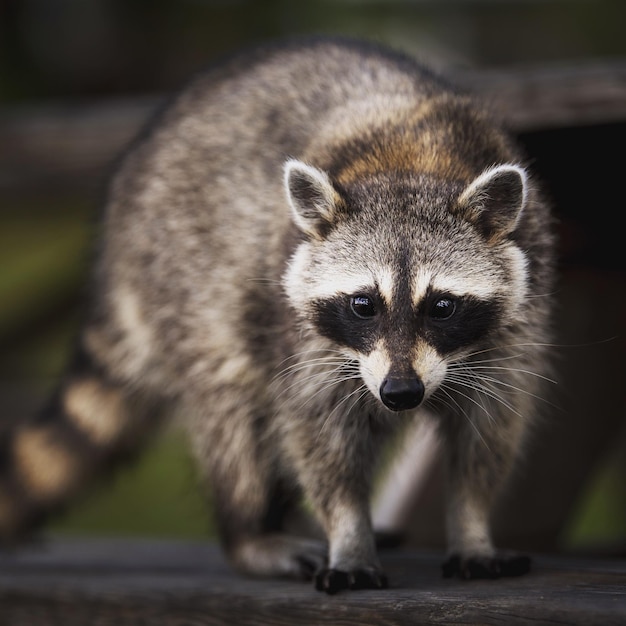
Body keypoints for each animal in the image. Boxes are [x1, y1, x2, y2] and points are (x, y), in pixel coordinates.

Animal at [0, 36, 552, 592]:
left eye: (441, 306)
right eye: (363, 304)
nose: (400, 393)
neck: (415, 164)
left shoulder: (519, 316)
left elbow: (489, 434)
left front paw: (472, 526)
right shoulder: (299, 333)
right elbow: (319, 433)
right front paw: (348, 534)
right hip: (184, 280)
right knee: (236, 414)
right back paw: (252, 534)